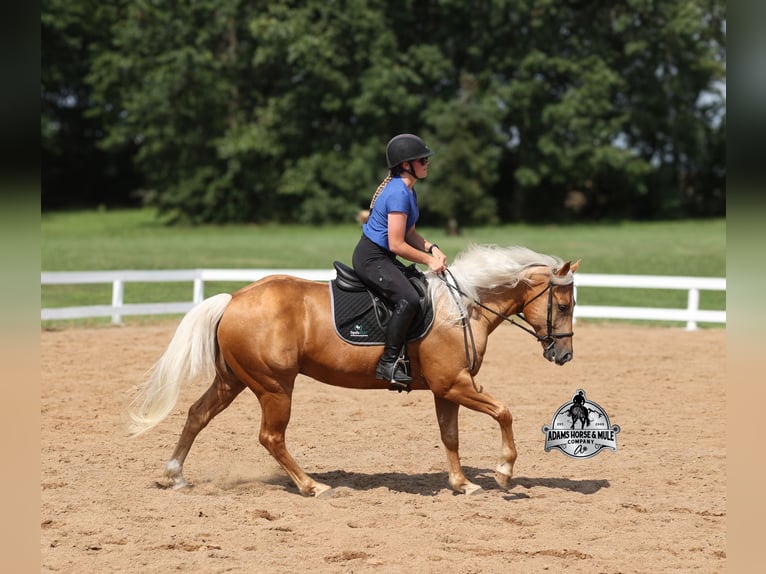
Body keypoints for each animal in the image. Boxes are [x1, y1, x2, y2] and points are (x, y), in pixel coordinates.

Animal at [128, 245, 580, 497]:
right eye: (563, 305)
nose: (563, 356)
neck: (462, 307)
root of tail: (234, 298)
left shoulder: (446, 389)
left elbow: (450, 437)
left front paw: (462, 483)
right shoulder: (457, 385)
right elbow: (504, 412)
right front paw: (503, 473)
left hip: (234, 380)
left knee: (197, 415)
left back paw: (174, 476)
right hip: (274, 387)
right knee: (271, 437)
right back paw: (312, 486)